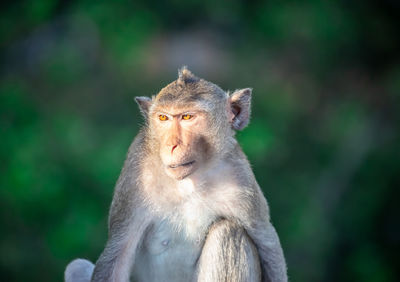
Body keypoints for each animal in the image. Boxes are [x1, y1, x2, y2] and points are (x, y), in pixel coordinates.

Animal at [64, 67, 286, 280]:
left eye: (187, 117)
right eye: (163, 117)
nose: (171, 145)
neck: (188, 181)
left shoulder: (240, 177)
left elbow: (267, 242)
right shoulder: (135, 175)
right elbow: (118, 253)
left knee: (228, 231)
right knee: (77, 266)